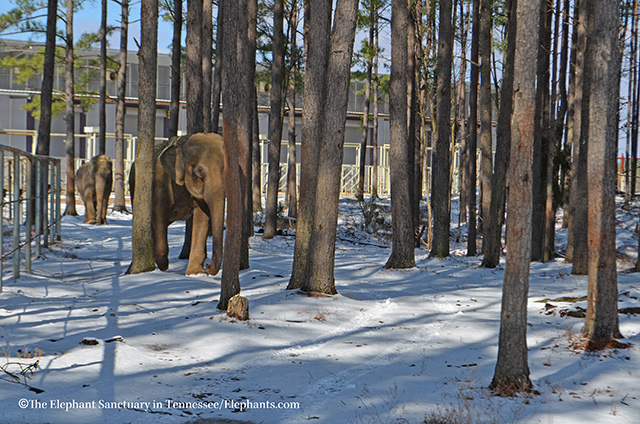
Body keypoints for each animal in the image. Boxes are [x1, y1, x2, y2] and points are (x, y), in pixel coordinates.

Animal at [129, 134, 225, 276]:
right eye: (199, 172)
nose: (208, 266)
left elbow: (202, 218)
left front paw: (195, 273)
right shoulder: (160, 180)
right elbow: (158, 214)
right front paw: (164, 266)